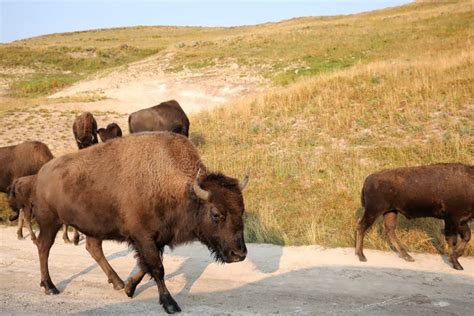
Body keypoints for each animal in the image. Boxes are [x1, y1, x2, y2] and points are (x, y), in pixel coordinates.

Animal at [34, 131, 250, 314]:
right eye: (216, 214)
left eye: (242, 210)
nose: (239, 254)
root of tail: (43, 171)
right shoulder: (144, 237)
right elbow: (157, 268)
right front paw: (170, 304)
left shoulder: (156, 239)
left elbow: (146, 266)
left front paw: (129, 288)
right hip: (49, 222)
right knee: (44, 248)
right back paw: (50, 286)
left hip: (92, 228)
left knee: (93, 248)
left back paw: (118, 282)